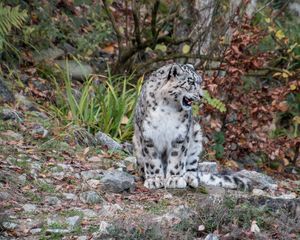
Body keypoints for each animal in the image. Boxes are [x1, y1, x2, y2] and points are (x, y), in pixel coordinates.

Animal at [134, 62, 251, 190]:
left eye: (200, 82)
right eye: (190, 82)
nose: (201, 96)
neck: (168, 107)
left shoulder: (180, 135)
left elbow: (177, 159)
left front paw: (175, 179)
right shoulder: (148, 135)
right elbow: (152, 160)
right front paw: (154, 180)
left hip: (196, 138)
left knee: (193, 168)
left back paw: (190, 178)